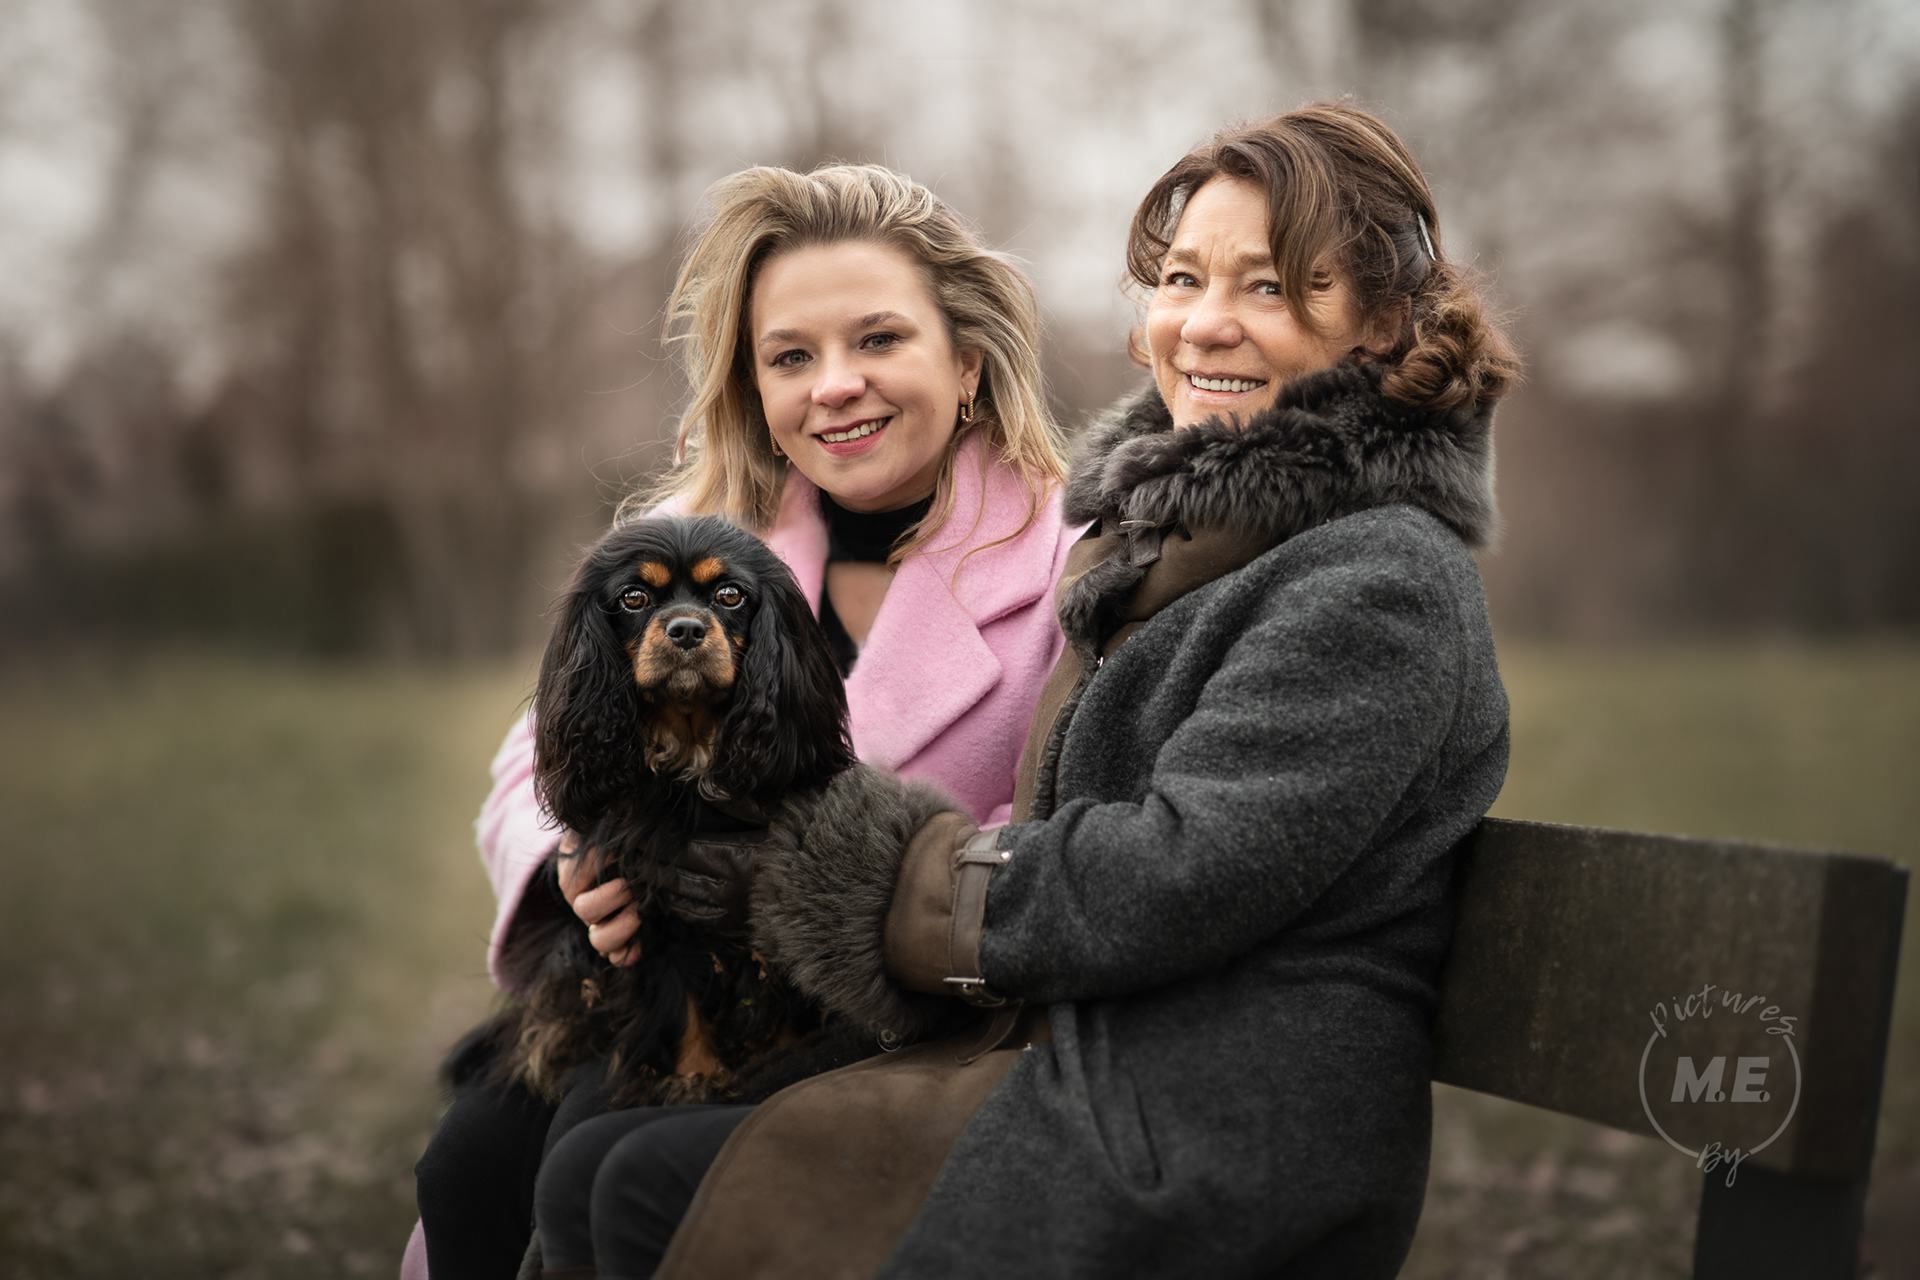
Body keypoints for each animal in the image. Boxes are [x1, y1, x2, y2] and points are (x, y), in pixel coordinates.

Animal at [490, 514, 865, 1108]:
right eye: (635, 597)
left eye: (730, 595)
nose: (686, 629)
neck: (692, 748)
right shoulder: (645, 903)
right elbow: (673, 996)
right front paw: (692, 1076)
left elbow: (777, 989)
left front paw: (780, 1059)